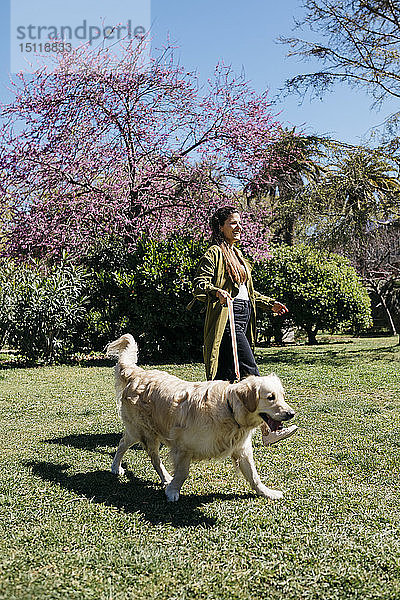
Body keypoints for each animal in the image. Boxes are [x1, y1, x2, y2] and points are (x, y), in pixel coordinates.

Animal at [108, 332, 296, 502]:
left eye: (282, 396)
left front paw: (267, 492)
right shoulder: (183, 446)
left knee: (129, 445)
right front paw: (173, 490)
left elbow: (253, 475)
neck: (229, 409)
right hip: (143, 431)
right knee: (140, 451)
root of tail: (137, 373)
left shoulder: (242, 449)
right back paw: (135, 471)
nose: (291, 413)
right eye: (270, 397)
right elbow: (182, 473)